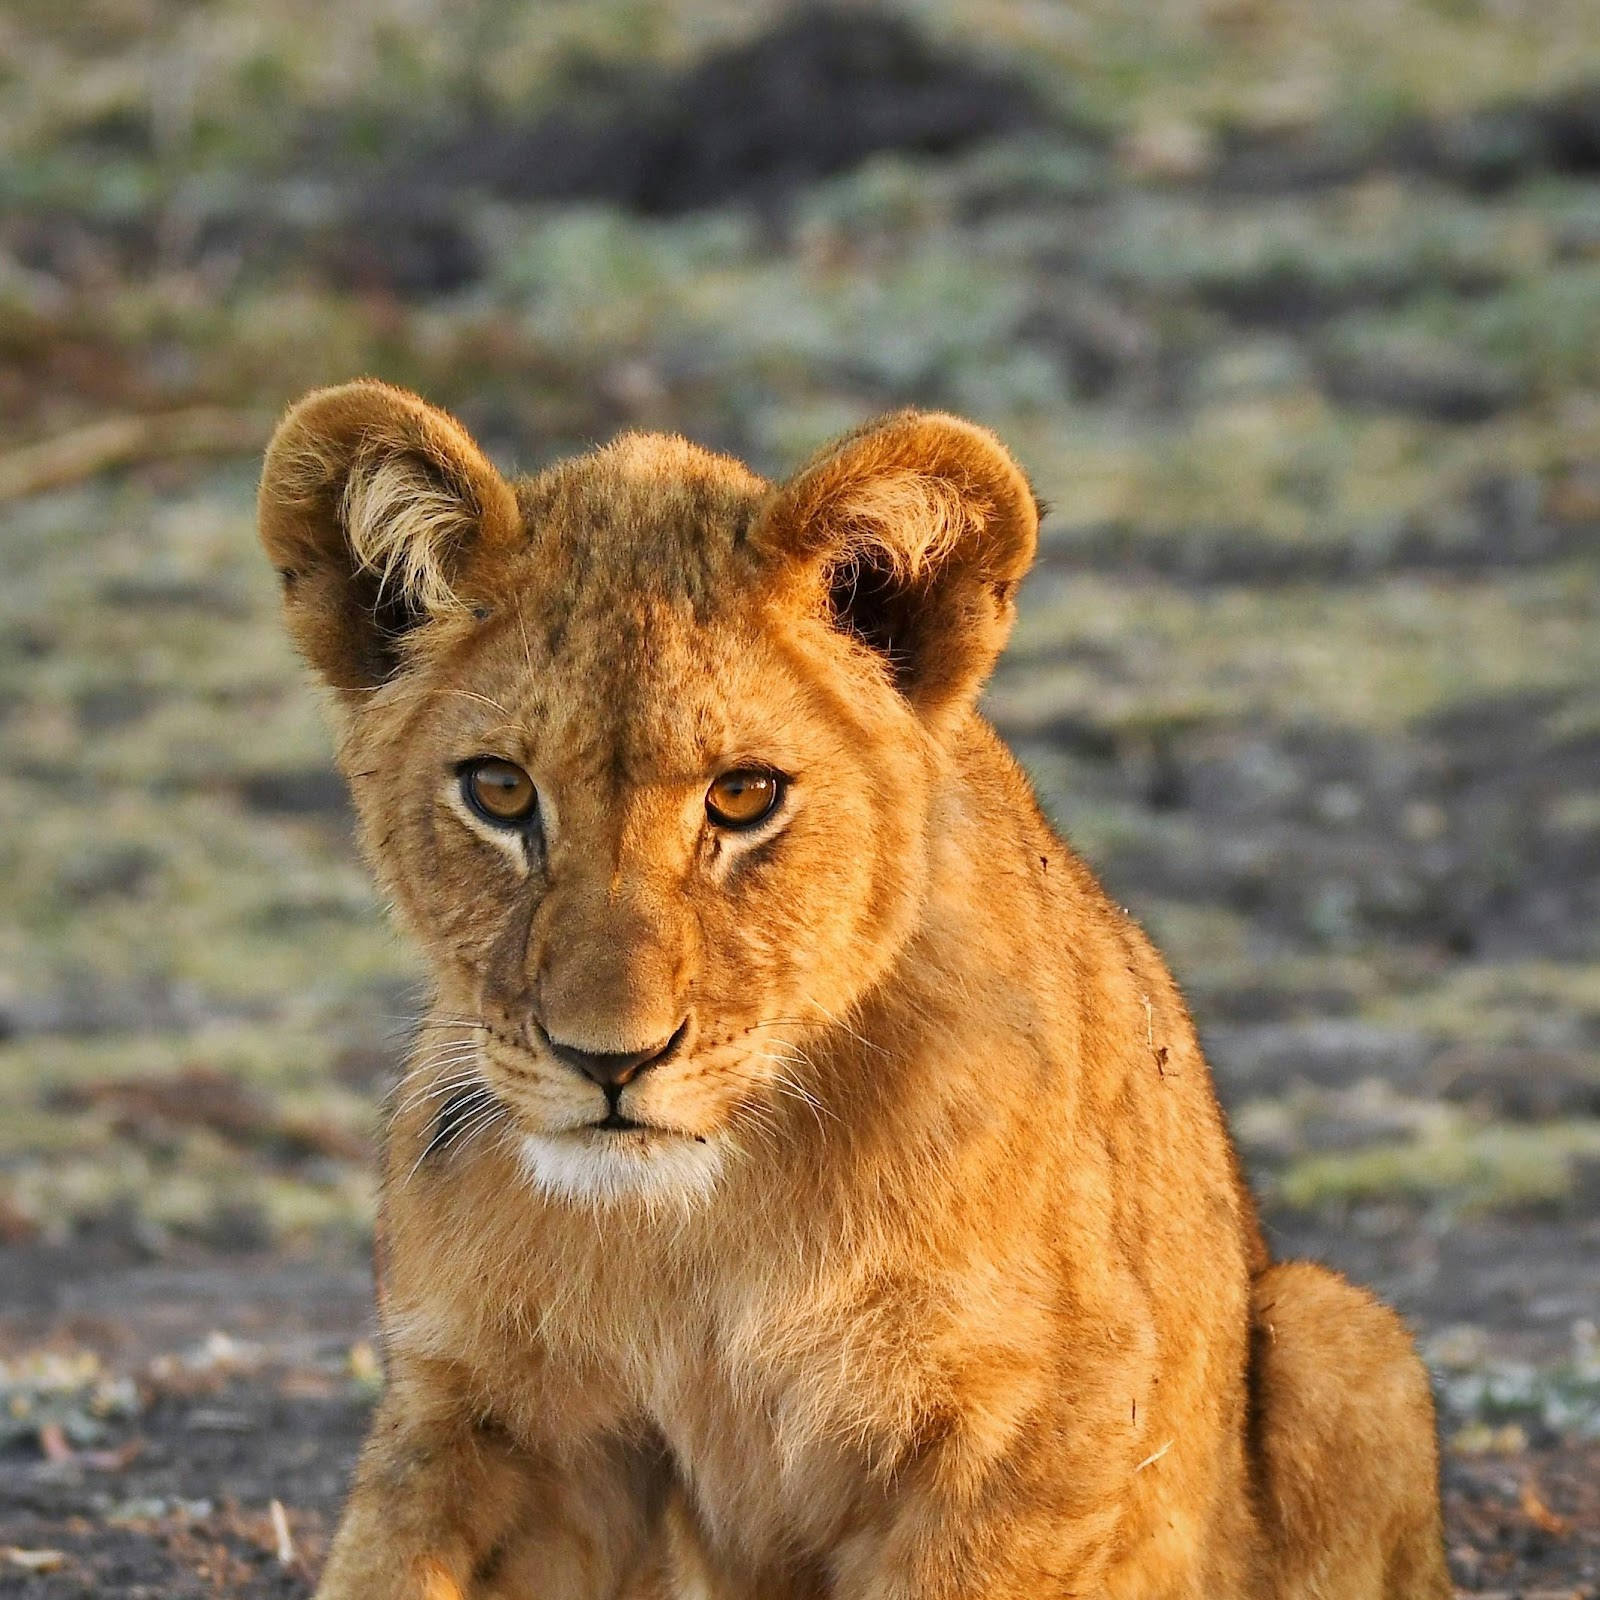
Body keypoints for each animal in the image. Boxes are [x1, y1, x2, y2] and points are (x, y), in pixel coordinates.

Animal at [257, 381, 1452, 1599]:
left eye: (743, 796)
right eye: (498, 790)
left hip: (1344, 1336)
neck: (694, 1233)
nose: (609, 1060)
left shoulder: (1035, 1433)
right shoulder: (479, 1415)